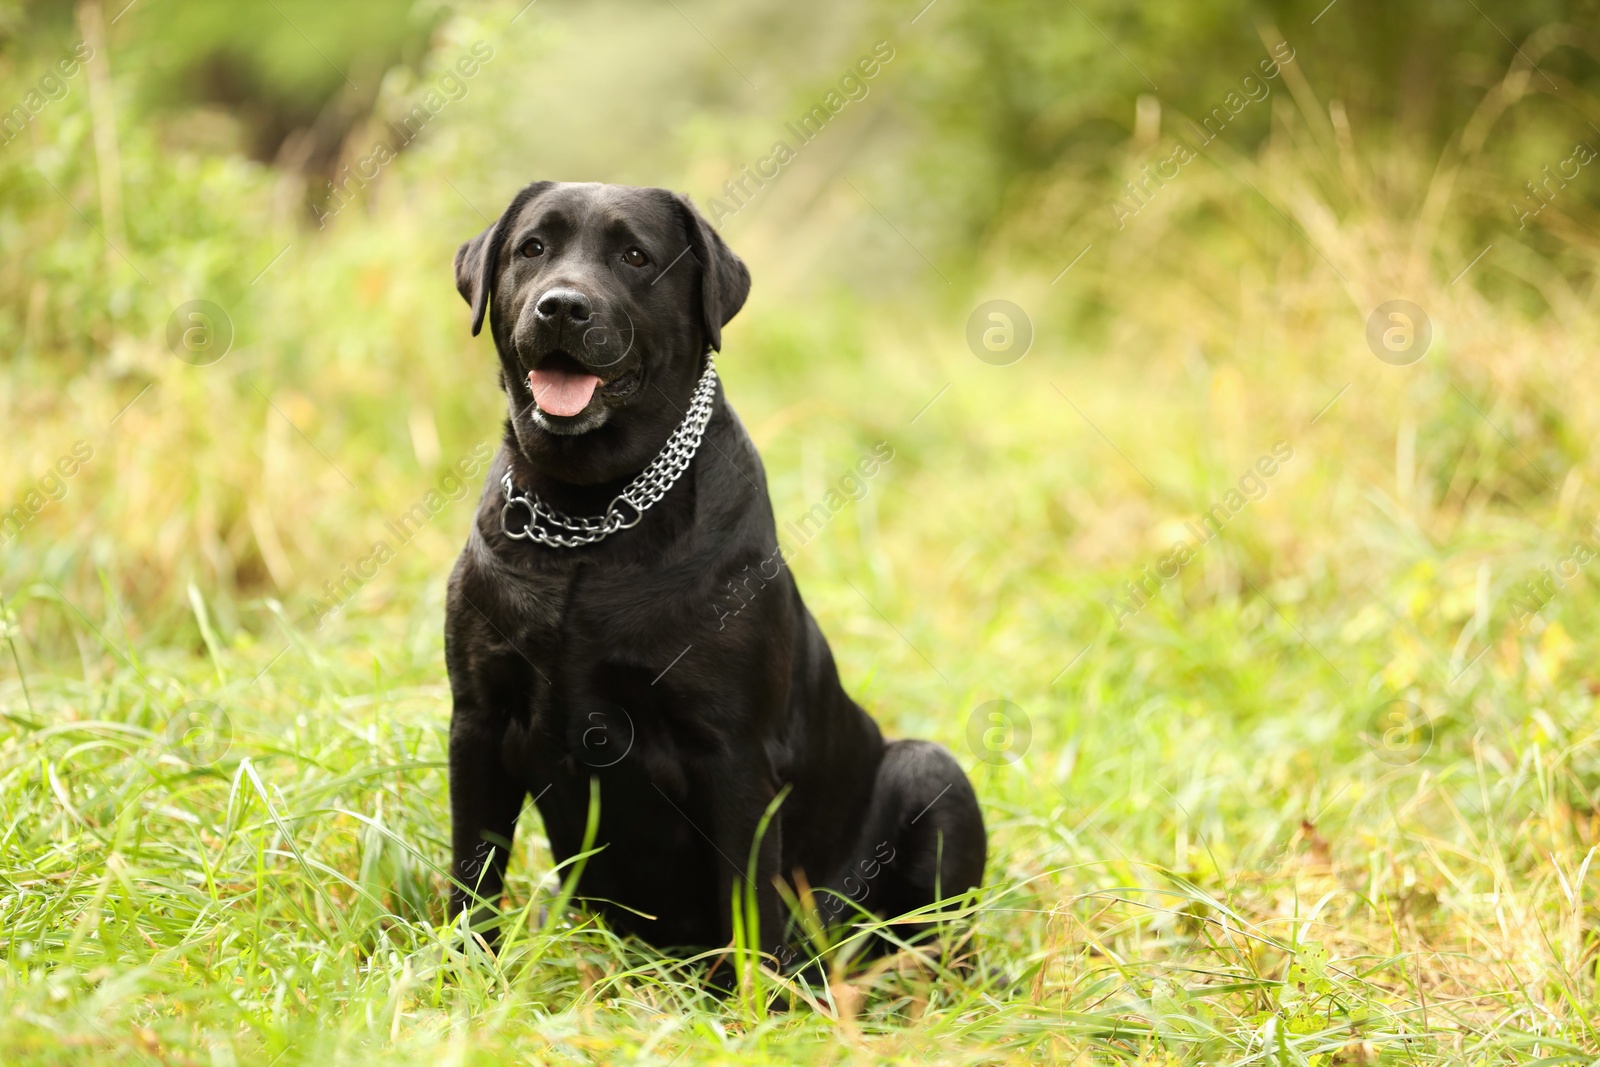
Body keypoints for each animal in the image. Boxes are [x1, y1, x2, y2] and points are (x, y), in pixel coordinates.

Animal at [444, 179, 979, 966]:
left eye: (636, 256)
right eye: (532, 248)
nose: (562, 306)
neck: (589, 515)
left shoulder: (732, 753)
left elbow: (749, 901)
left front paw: (755, 997)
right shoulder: (477, 719)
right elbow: (472, 871)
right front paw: (458, 973)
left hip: (930, 774)